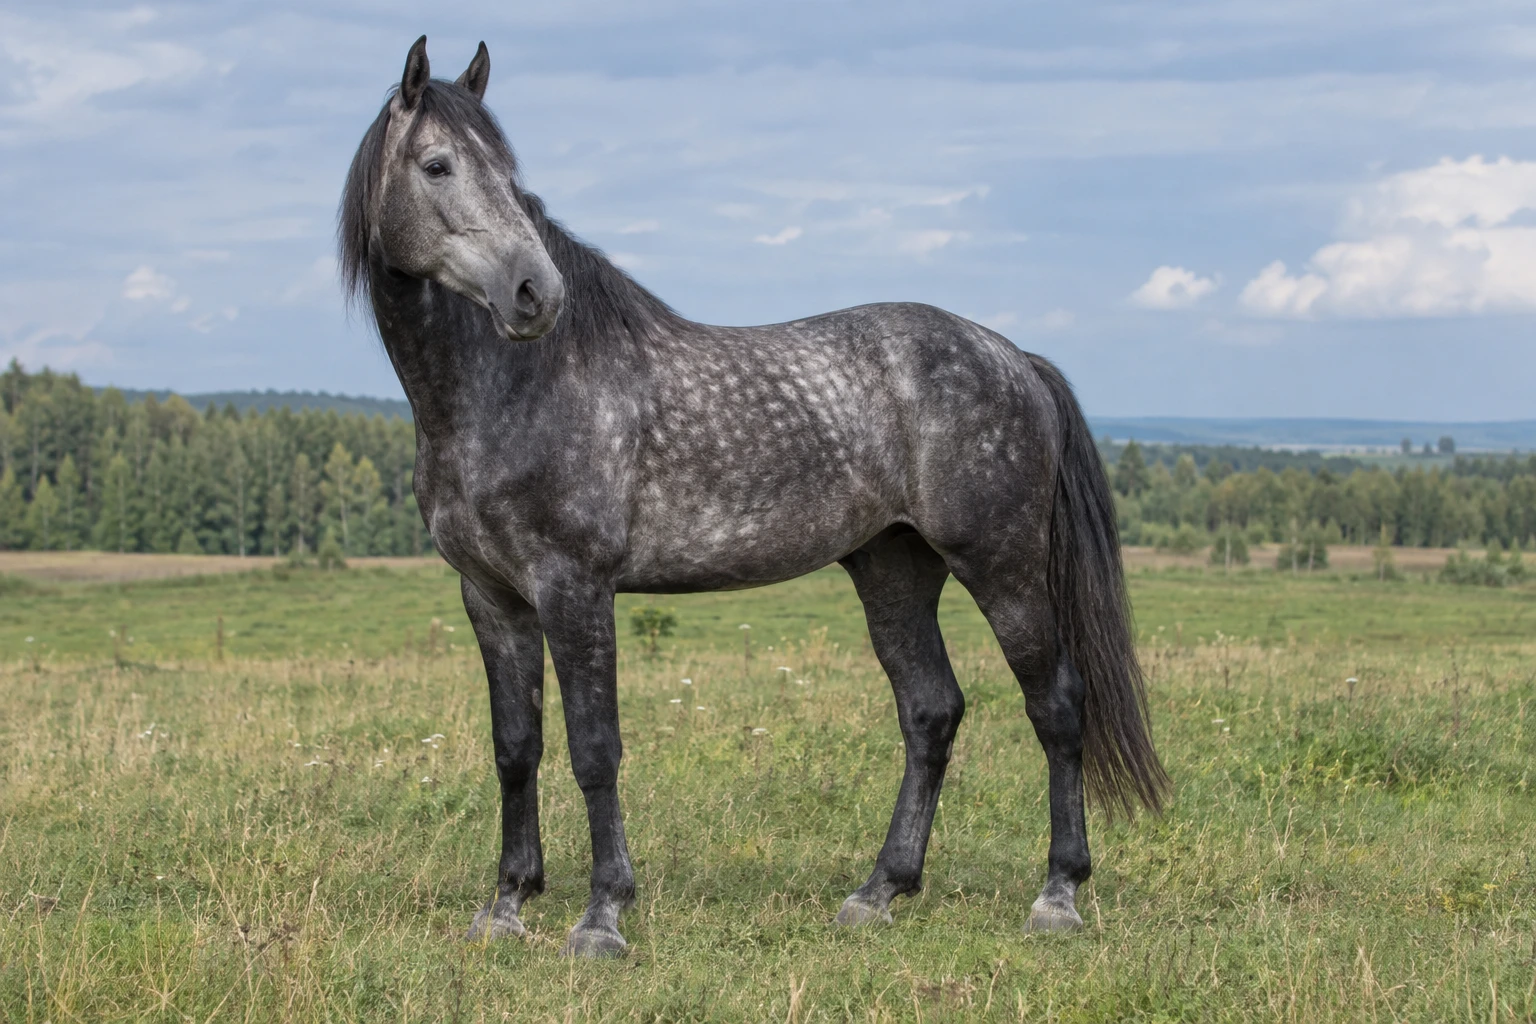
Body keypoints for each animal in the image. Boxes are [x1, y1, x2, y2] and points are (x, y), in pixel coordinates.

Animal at [340, 36, 1168, 957]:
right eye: (437, 165)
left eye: (510, 174)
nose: (535, 294)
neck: (514, 389)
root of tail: (1014, 356)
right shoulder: (491, 596)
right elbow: (516, 746)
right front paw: (507, 905)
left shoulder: (574, 588)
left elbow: (595, 749)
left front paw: (602, 916)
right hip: (894, 569)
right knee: (931, 711)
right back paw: (880, 890)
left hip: (1003, 564)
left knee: (1055, 705)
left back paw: (1057, 894)